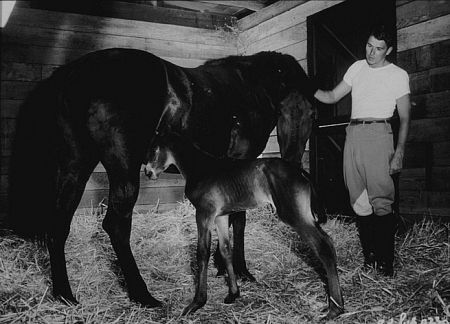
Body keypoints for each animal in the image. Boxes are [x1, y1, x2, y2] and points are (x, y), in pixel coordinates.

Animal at [7, 48, 316, 308]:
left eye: (311, 113)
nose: (294, 161)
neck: (247, 88)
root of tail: (74, 72)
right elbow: (239, 218)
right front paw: (239, 270)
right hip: (123, 169)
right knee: (116, 225)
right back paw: (142, 294)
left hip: (75, 167)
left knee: (59, 225)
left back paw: (65, 294)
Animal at [146, 130, 342, 320]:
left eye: (154, 149)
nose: (148, 172)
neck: (200, 168)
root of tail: (302, 172)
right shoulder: (221, 217)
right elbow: (225, 250)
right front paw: (233, 293)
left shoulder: (204, 214)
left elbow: (202, 253)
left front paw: (197, 303)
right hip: (305, 215)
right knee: (329, 242)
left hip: (294, 214)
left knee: (323, 247)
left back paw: (334, 309)